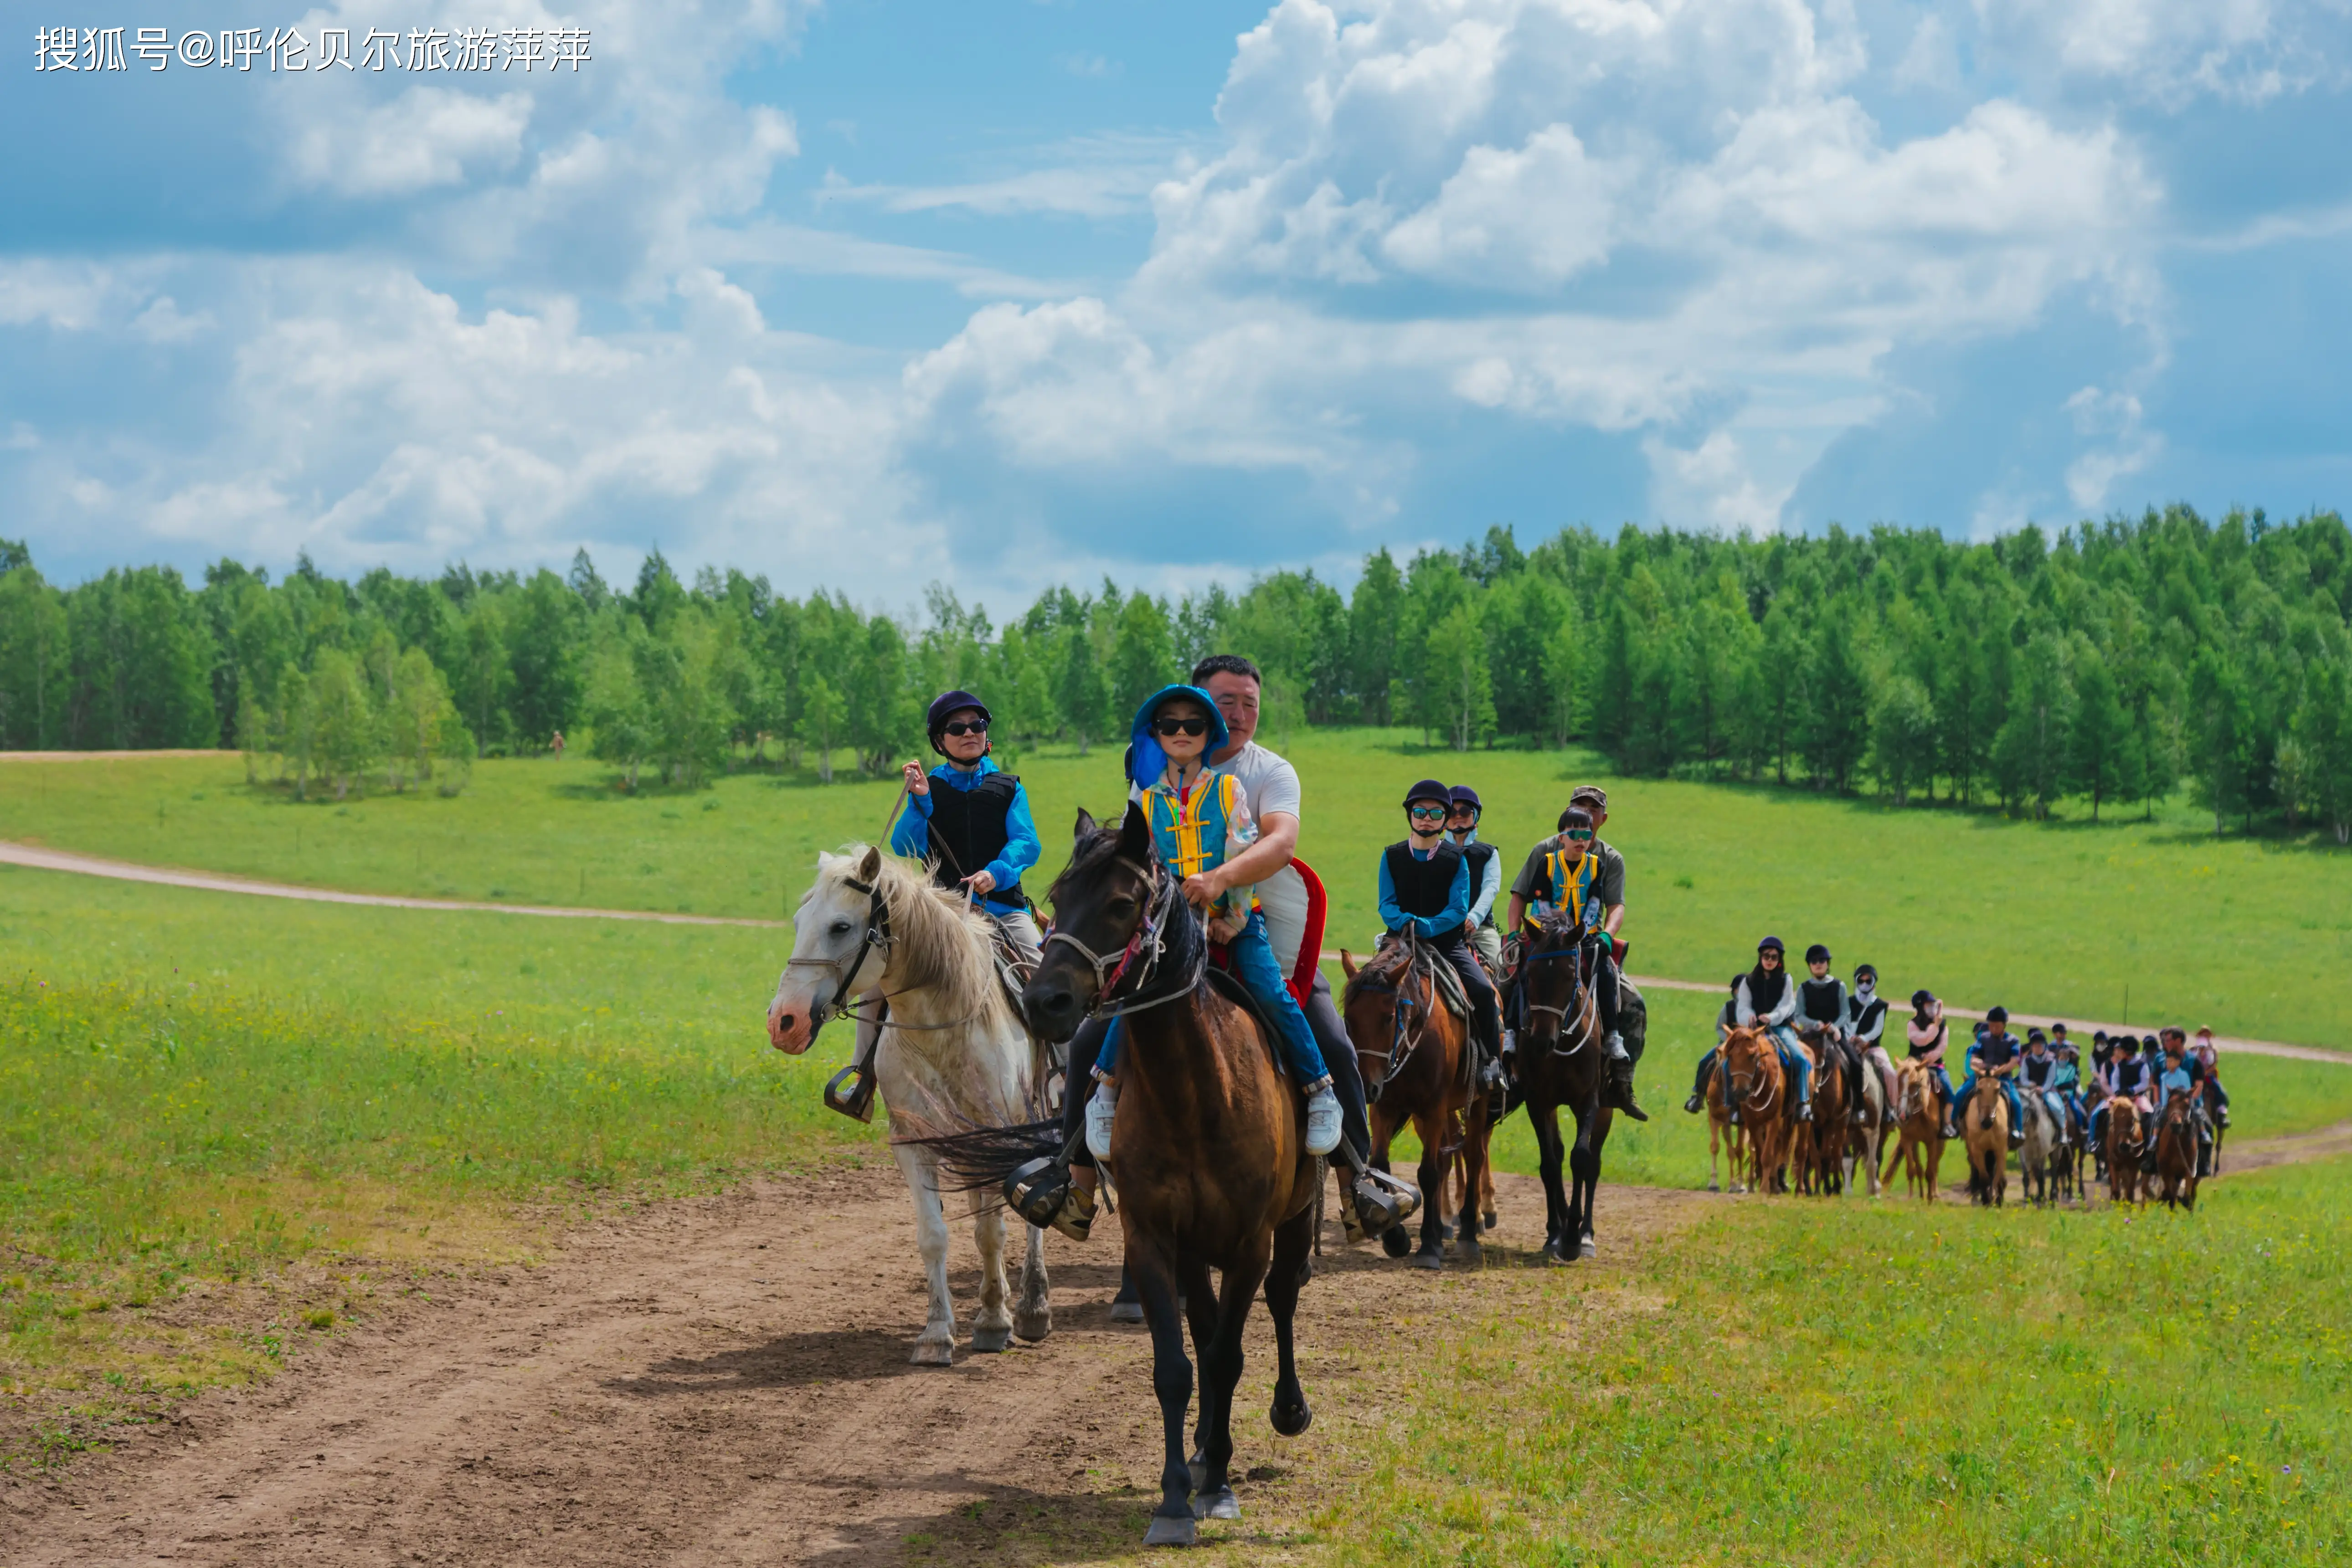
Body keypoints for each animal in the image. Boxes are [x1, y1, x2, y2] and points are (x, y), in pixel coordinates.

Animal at [767, 841, 1054, 1363]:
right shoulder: (914, 1143)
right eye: (799, 921)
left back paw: (1032, 1307)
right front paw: (938, 1332)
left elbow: (991, 1231)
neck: (943, 1028)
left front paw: (994, 1320)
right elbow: (934, 1236)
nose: (784, 1022)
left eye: (841, 926)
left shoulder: (996, 1135)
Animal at [1345, 931, 1486, 1279]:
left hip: (1478, 1102)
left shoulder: (1433, 1108)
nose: (1366, 1087)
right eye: (1349, 1020)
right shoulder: (1385, 1108)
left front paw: (1426, 1249)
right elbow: (1381, 1166)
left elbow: (1428, 1173)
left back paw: (1466, 1234)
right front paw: (1396, 1240)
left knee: (1473, 1156)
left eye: (1387, 1018)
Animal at [1872, 1062, 1947, 1213]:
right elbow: (1912, 1171)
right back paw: (1922, 1194)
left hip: (1940, 1143)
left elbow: (1930, 1171)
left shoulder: (1932, 1142)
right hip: (1916, 1144)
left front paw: (1930, 1199)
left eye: (1916, 1084)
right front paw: (1912, 1197)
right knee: (1919, 1168)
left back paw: (1935, 1193)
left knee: (1935, 1166)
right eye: (1899, 1083)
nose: (1902, 1115)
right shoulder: (1908, 1140)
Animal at [1956, 1072, 2013, 1213]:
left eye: (1997, 1090)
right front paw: (1985, 1199)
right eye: (1979, 1090)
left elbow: (1998, 1175)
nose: (1987, 1122)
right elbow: (1984, 1175)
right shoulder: (1977, 1149)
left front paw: (1998, 1199)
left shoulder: (2001, 1149)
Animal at [2154, 1090, 2192, 1213]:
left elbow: (2187, 1197)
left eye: (2187, 1105)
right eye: (2169, 1104)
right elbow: (2170, 1194)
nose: (2176, 1125)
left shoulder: (2189, 1170)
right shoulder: (2167, 1172)